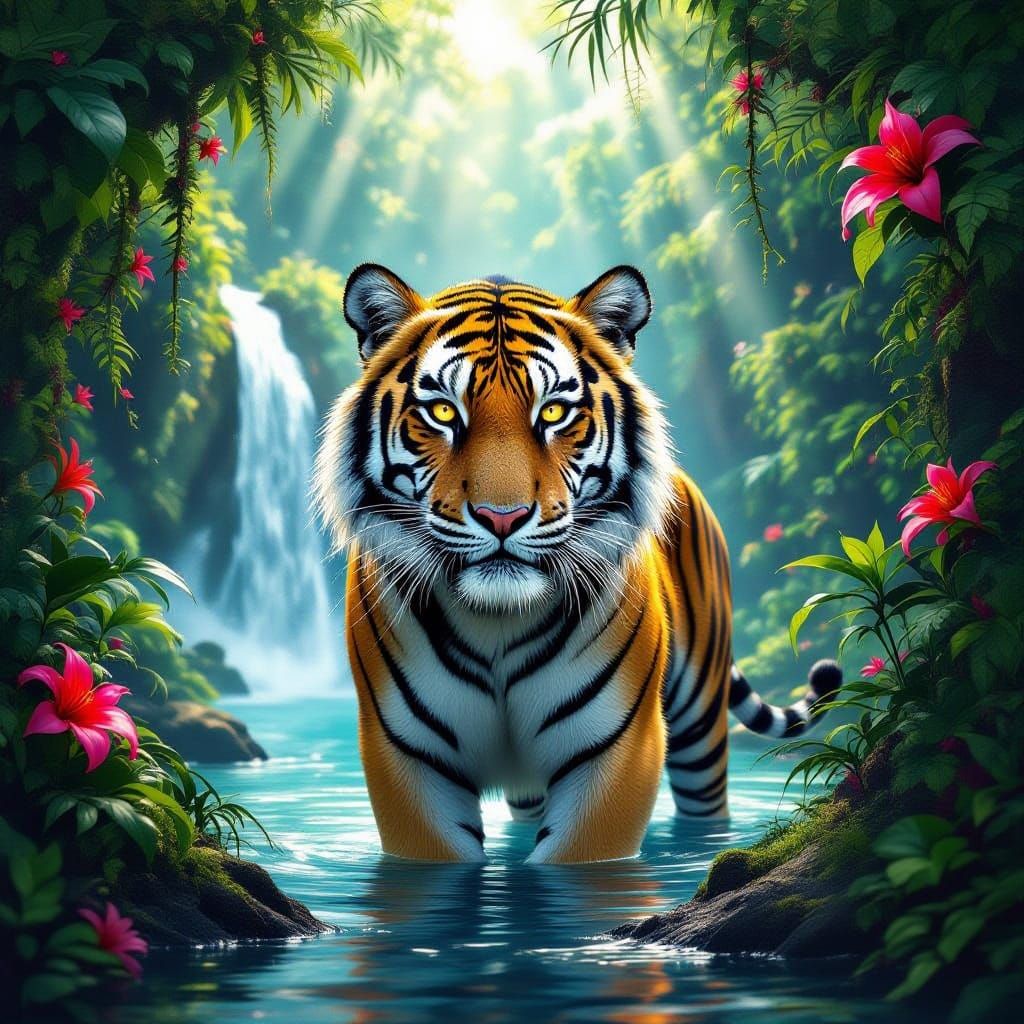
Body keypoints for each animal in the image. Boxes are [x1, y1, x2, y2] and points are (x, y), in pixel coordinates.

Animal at [313, 263, 841, 865]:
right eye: (444, 411)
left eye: (553, 412)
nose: (501, 517)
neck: (496, 622)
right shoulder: (409, 756)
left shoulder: (615, 747)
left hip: (700, 726)